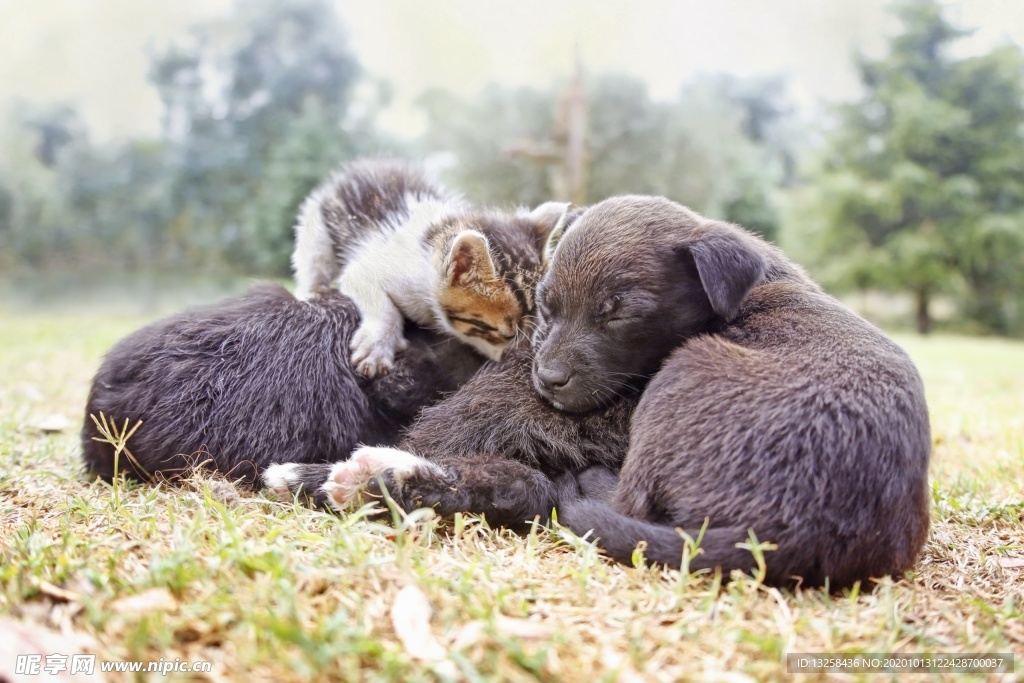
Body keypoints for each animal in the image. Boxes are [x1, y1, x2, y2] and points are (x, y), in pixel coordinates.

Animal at [292, 157, 573, 376]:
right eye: (503, 334)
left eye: (537, 327)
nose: (521, 360)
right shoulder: (367, 270)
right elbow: (382, 305)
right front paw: (377, 347)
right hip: (317, 227)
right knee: (312, 261)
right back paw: (312, 290)